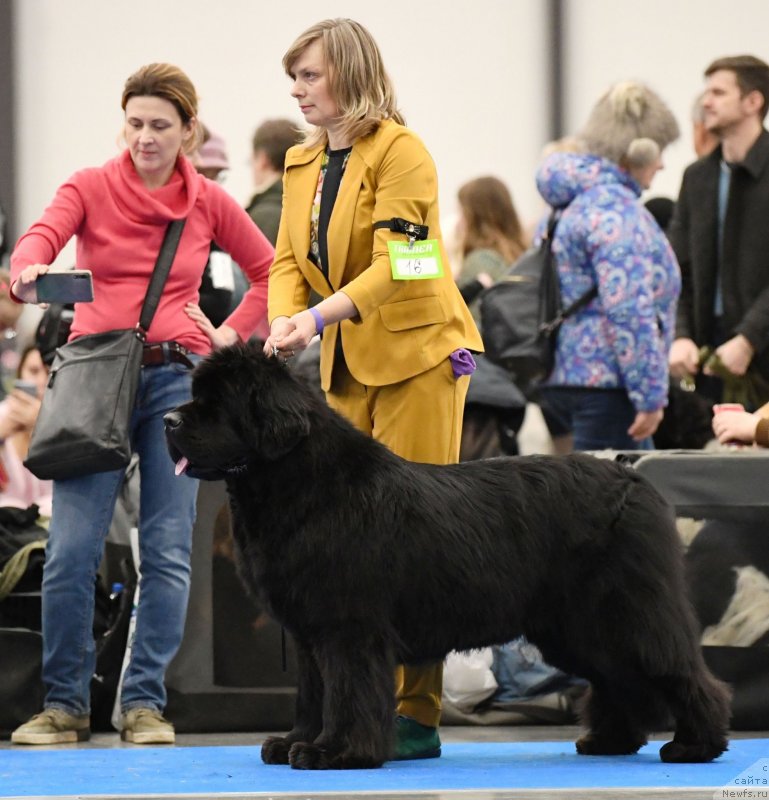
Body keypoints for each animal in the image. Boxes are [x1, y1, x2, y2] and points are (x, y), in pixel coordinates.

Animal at [165, 344, 728, 768]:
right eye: (196, 397)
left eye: (218, 403)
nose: (168, 420)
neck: (301, 484)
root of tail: (633, 478)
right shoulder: (309, 632)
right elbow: (313, 691)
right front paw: (293, 742)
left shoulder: (348, 629)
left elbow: (346, 691)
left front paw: (335, 753)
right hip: (574, 628)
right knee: (617, 676)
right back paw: (610, 741)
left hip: (626, 610)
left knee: (676, 668)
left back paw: (695, 745)